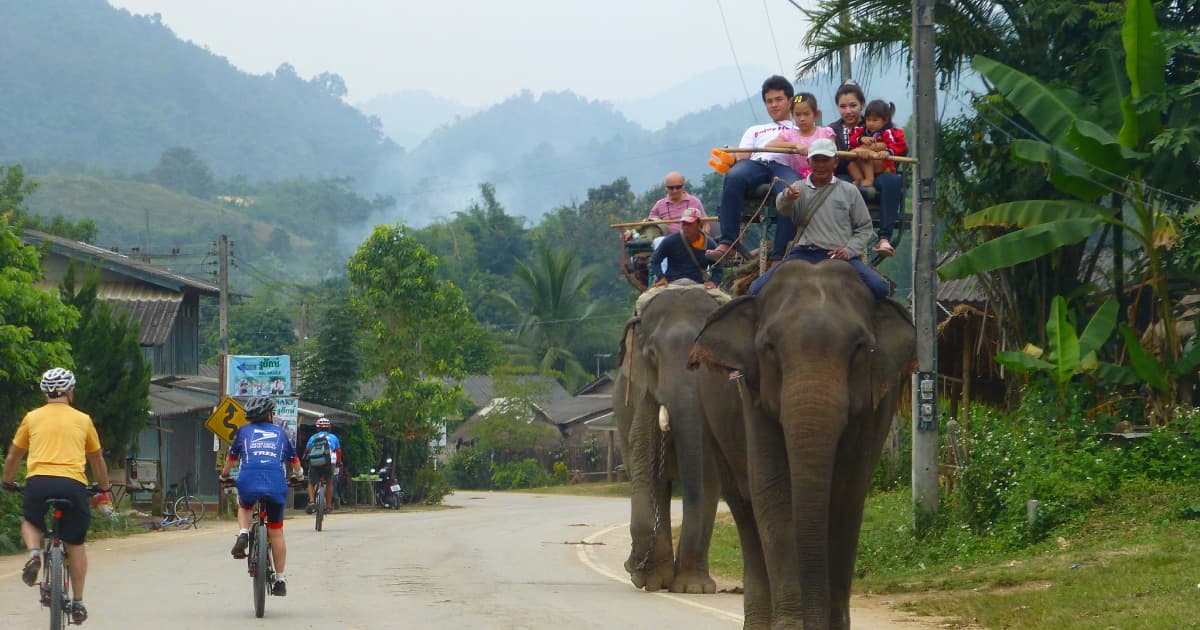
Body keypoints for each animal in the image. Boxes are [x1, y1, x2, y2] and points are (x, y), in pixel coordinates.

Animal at [614, 286, 734, 592]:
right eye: (652, 355)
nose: (631, 564)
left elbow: (706, 477)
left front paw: (692, 588)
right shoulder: (644, 392)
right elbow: (645, 462)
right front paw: (648, 579)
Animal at [691, 258, 912, 624]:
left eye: (859, 348)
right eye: (769, 348)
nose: (815, 620)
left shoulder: (870, 410)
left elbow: (847, 495)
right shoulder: (752, 396)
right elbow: (775, 492)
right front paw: (792, 625)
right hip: (711, 424)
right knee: (744, 509)